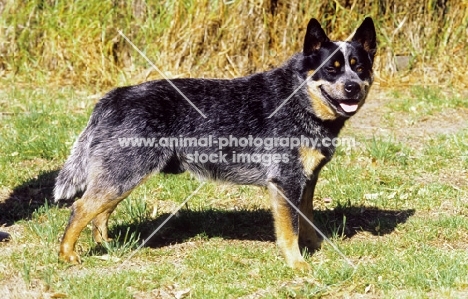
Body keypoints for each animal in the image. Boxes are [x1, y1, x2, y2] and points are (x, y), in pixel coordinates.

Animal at [54, 17, 376, 270]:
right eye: (331, 69)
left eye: (359, 68)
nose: (352, 87)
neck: (298, 100)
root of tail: (114, 96)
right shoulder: (286, 182)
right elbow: (290, 230)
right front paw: (297, 264)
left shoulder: (307, 180)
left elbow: (307, 220)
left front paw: (316, 249)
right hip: (124, 175)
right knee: (81, 208)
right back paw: (67, 255)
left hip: (121, 178)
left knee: (99, 214)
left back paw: (108, 248)